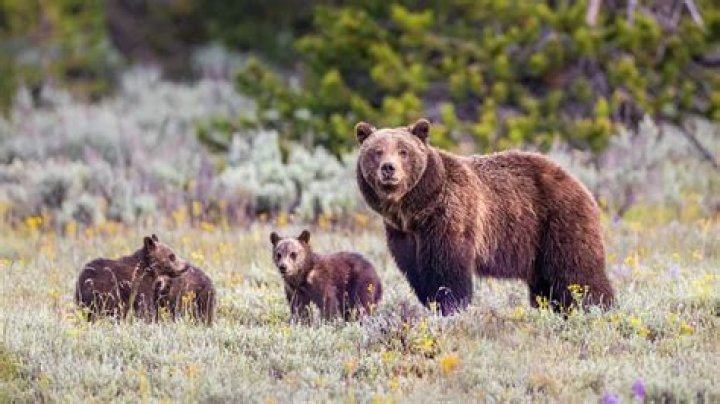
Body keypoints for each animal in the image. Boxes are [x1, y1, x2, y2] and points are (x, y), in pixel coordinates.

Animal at [354, 118, 614, 315]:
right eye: (377, 151)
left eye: (403, 151)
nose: (389, 168)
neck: (414, 209)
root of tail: (580, 184)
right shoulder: (403, 234)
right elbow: (417, 273)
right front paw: (433, 303)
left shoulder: (449, 218)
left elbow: (448, 272)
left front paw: (451, 306)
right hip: (538, 247)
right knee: (545, 284)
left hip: (558, 221)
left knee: (578, 271)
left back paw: (598, 309)